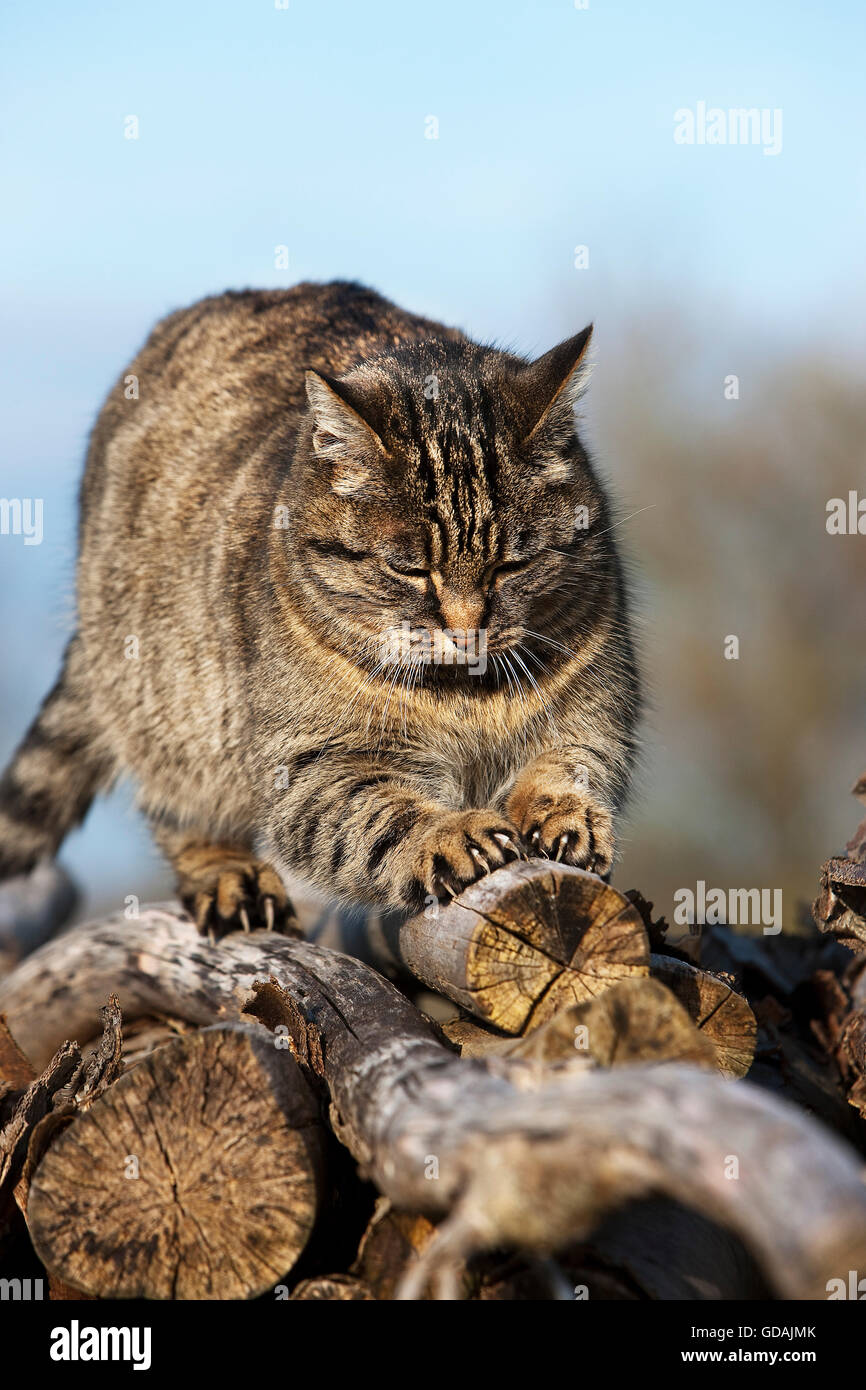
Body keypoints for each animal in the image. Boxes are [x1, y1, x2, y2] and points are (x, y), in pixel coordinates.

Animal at [0, 282, 636, 934]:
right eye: (409, 569)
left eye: (511, 565)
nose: (467, 632)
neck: (466, 697)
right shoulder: (314, 768)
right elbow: (380, 819)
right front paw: (450, 833)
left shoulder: (596, 714)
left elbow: (568, 766)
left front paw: (565, 816)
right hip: (169, 706)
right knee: (179, 809)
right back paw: (229, 875)